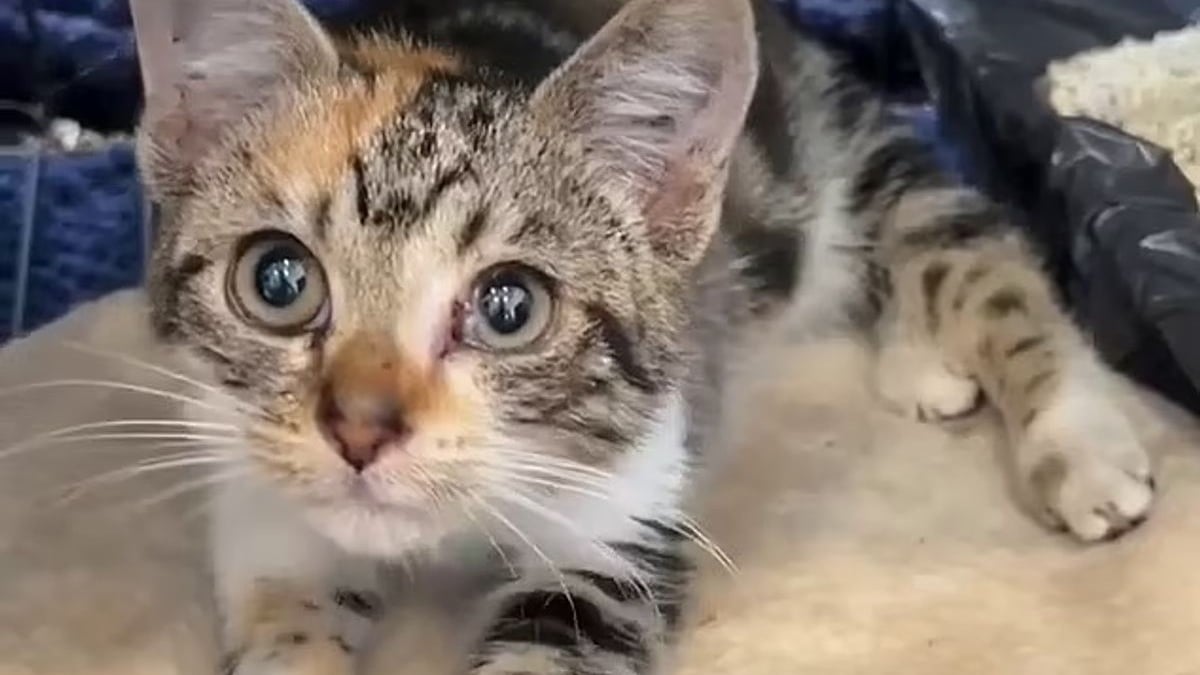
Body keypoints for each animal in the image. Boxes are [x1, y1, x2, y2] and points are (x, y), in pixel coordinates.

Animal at [129, 1, 1152, 672]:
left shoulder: (624, 514)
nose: (360, 428)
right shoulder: (259, 508)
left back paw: (1076, 440)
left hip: (844, 151)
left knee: (969, 252)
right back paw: (921, 363)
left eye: (510, 306)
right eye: (278, 281)